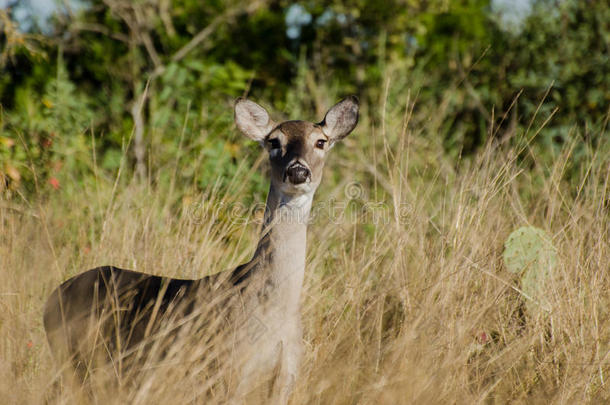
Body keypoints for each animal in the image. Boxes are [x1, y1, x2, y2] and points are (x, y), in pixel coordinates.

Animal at [42, 94, 358, 400]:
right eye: (274, 141)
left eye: (321, 141)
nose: (298, 171)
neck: (274, 309)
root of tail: (52, 298)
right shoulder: (226, 367)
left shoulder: (287, 377)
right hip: (75, 360)